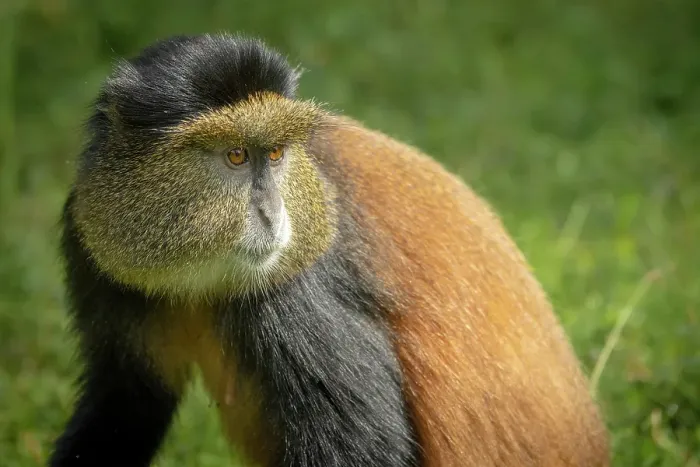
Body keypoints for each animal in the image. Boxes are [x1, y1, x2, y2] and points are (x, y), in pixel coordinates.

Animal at [48, 33, 609, 467]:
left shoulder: (293, 294)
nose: (272, 216)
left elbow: (364, 447)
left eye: (275, 154)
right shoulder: (95, 248)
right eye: (236, 155)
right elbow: (128, 401)